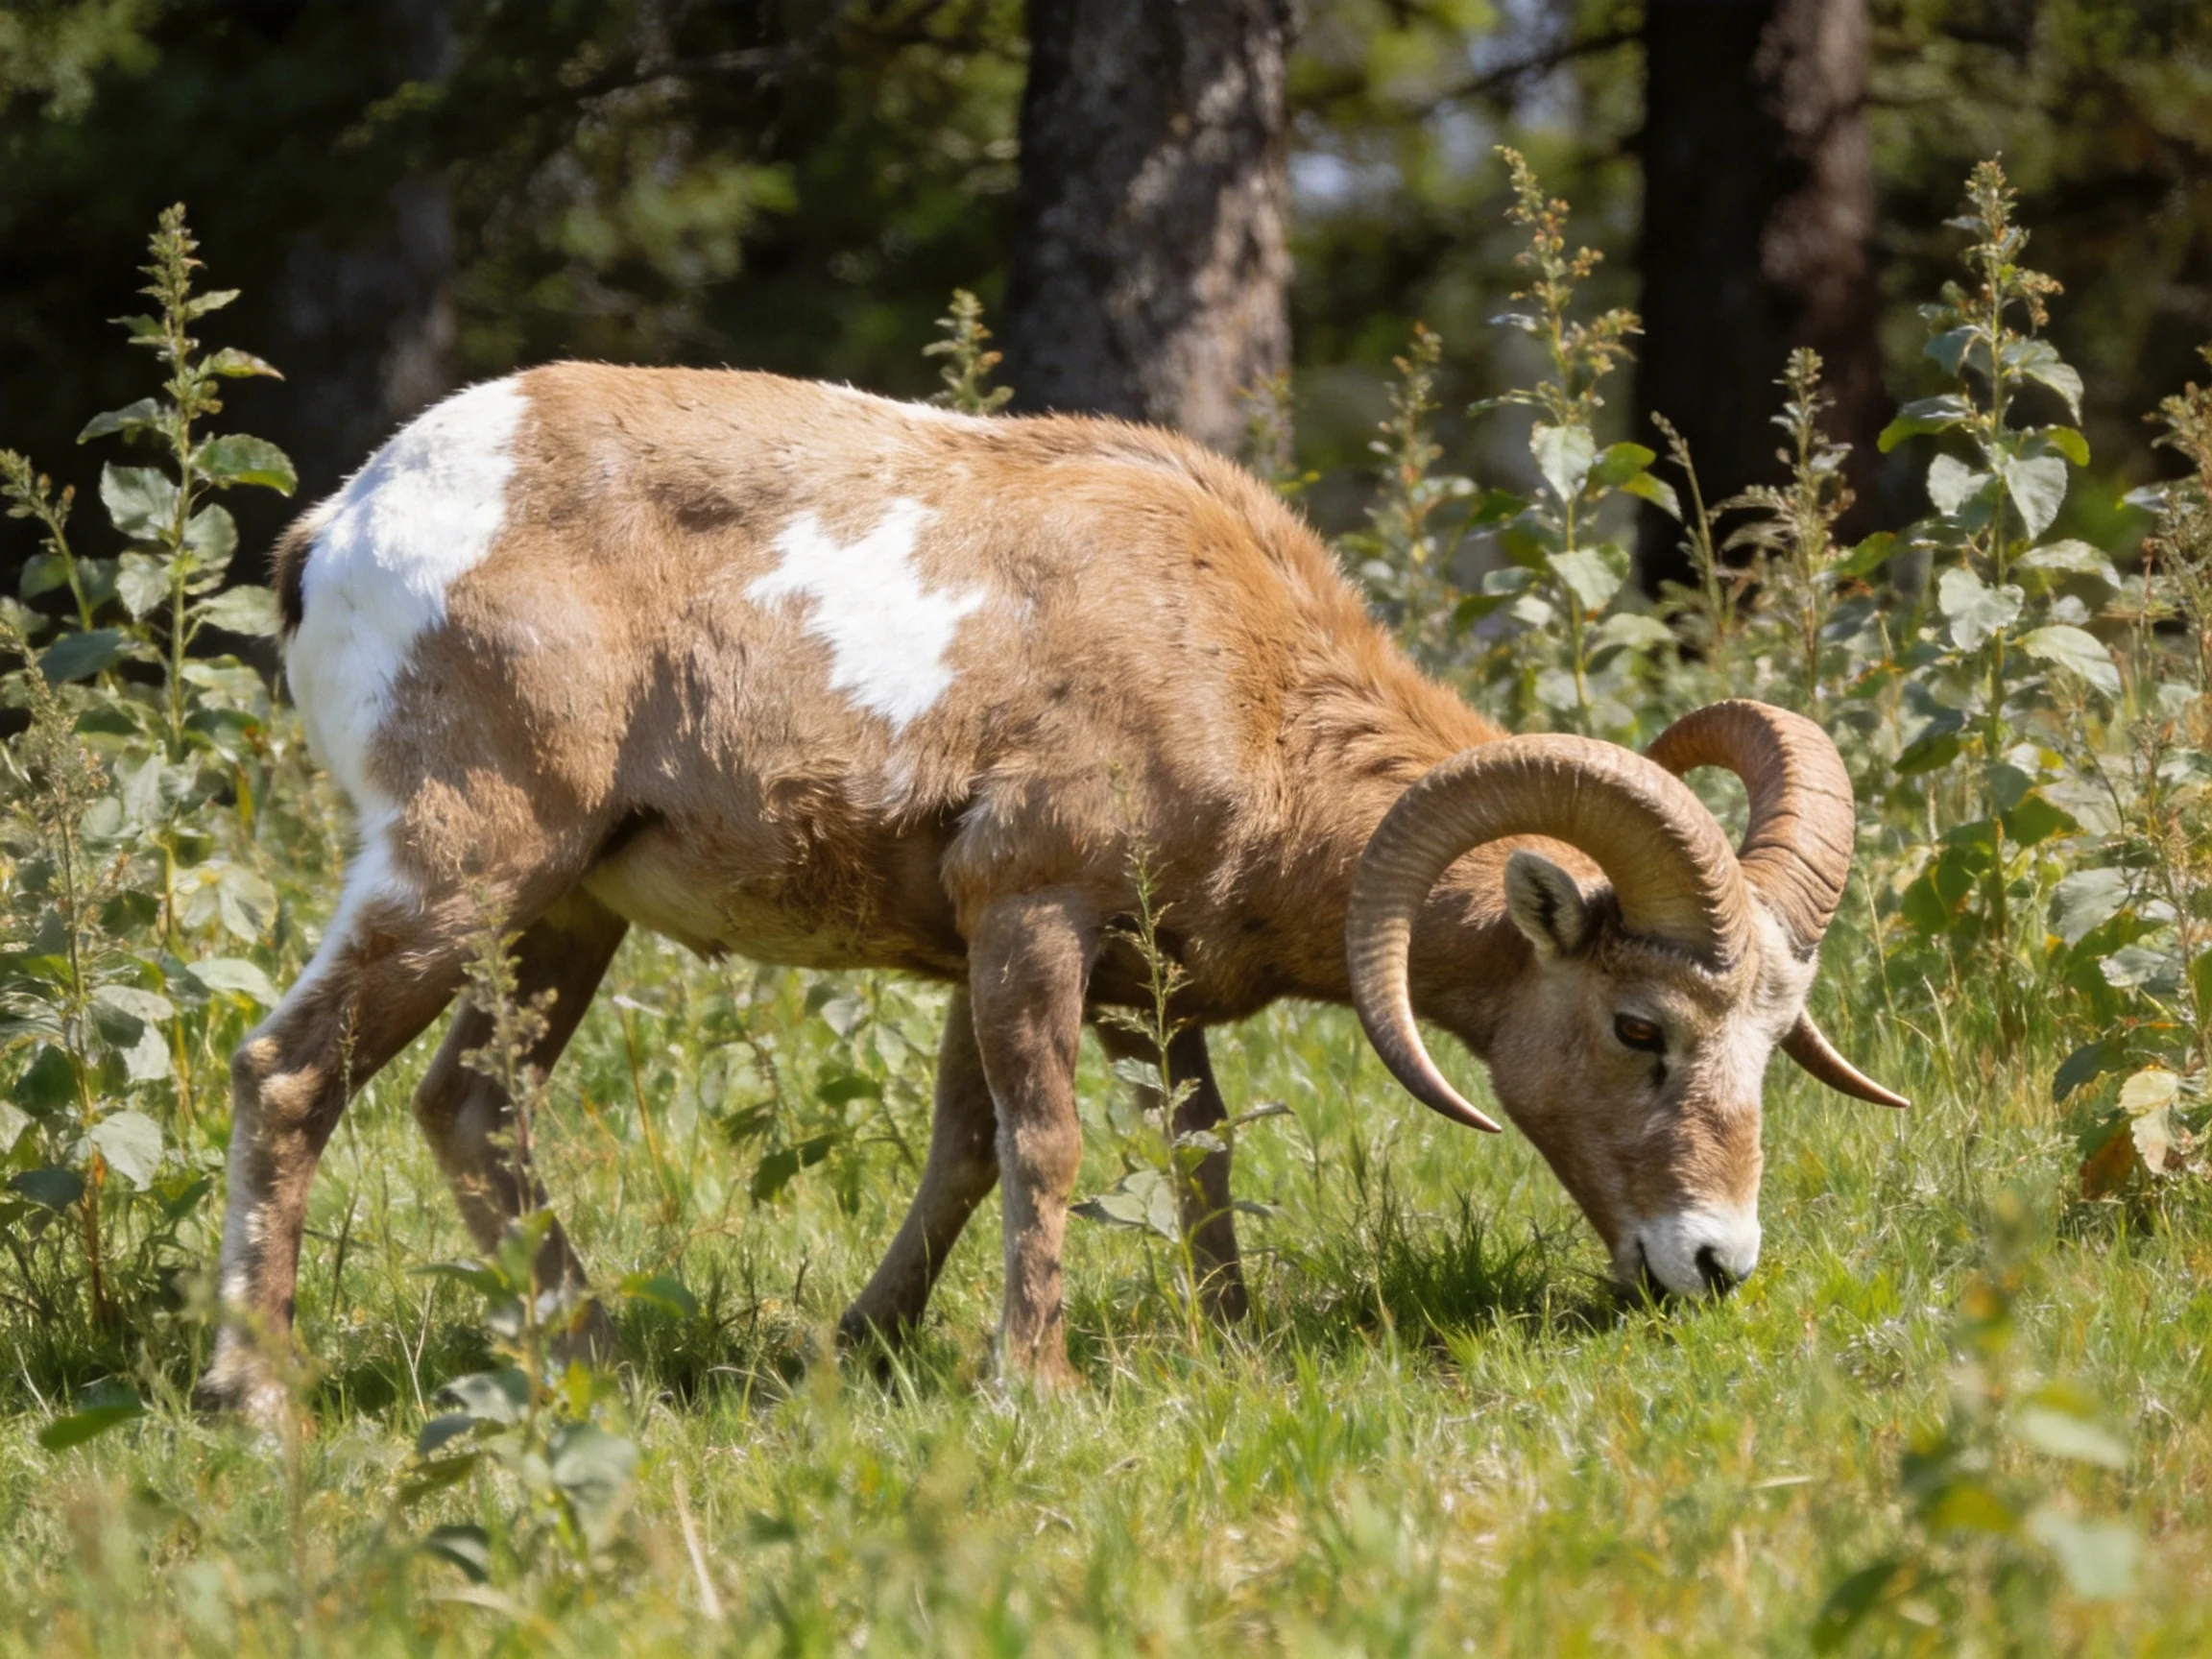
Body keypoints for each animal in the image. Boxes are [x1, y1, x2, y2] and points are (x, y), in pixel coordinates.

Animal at [197, 364, 1904, 1417]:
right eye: (1638, 1029)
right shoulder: (1034, 915)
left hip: (566, 915)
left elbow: (1069, 1150)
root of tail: (346, 524)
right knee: (288, 1073)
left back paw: (607, 1370)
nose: (1713, 1266)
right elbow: (1050, 1140)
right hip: (460, 871)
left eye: (1774, 1040)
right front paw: (1036, 1382)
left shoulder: (1082, 965)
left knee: (469, 1109)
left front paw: (893, 1353)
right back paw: (259, 1398)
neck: (1235, 663)